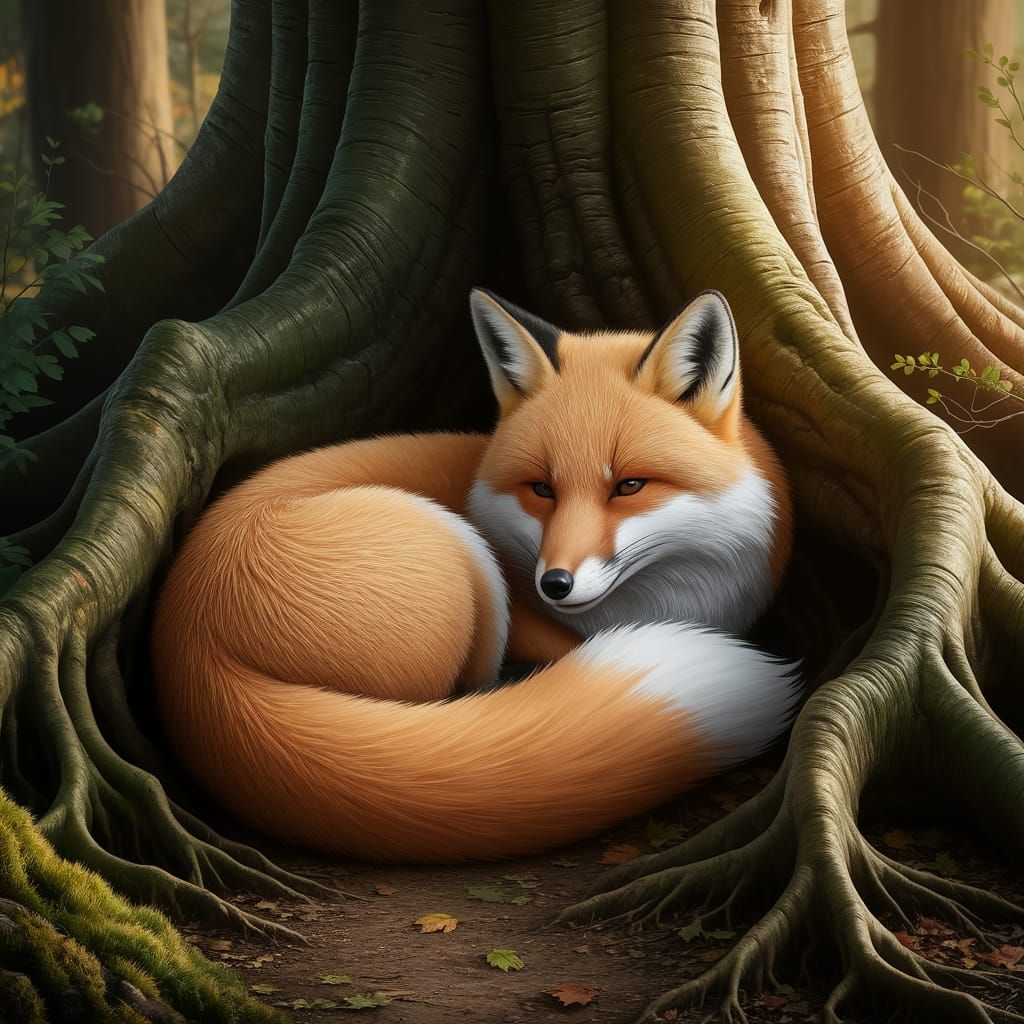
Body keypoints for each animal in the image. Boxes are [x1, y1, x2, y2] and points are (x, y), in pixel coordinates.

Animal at [151, 287, 799, 863]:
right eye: (542, 488)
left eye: (629, 486)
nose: (553, 585)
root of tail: (188, 636)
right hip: (464, 555)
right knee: (460, 692)